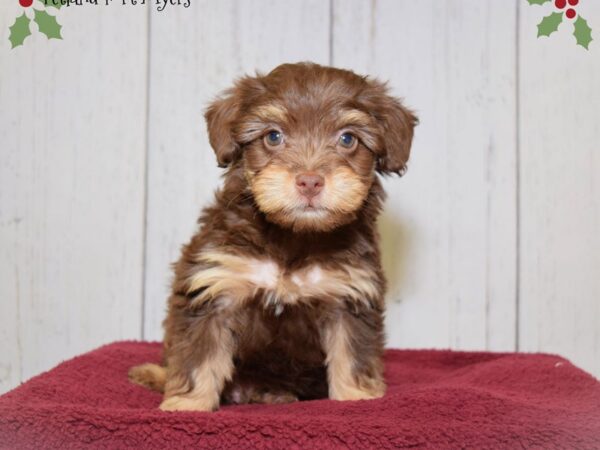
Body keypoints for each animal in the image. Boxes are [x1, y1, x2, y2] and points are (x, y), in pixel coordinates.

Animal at [129, 63, 418, 412]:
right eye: (273, 136)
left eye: (348, 138)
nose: (310, 181)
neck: (293, 236)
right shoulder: (216, 285)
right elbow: (199, 355)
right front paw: (187, 406)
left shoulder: (348, 296)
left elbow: (352, 355)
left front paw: (357, 398)